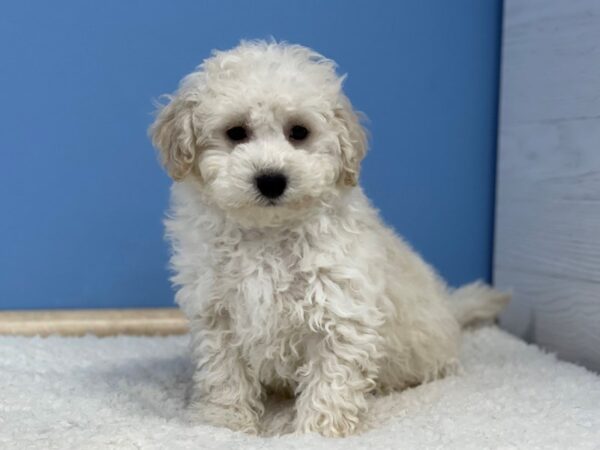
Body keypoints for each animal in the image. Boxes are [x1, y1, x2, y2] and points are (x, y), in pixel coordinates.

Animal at [149, 40, 506, 438]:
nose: (271, 179)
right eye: (236, 132)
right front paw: (223, 425)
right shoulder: (216, 313)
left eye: (299, 132)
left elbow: (329, 381)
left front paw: (314, 434)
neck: (267, 233)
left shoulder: (340, 311)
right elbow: (223, 375)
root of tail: (451, 310)